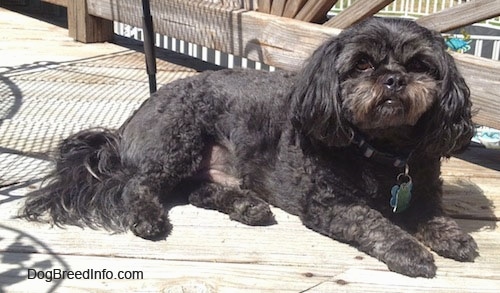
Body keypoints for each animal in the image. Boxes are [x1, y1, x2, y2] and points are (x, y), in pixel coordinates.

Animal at [22, 18, 476, 276]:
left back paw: (248, 207)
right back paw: (149, 219)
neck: (380, 149)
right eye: (362, 64)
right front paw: (409, 251)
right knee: (141, 185)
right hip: (176, 138)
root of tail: (128, 124)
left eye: (420, 65)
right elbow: (377, 224)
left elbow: (432, 214)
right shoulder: (331, 204)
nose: (394, 79)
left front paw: (452, 237)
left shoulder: (421, 185)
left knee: (197, 191)